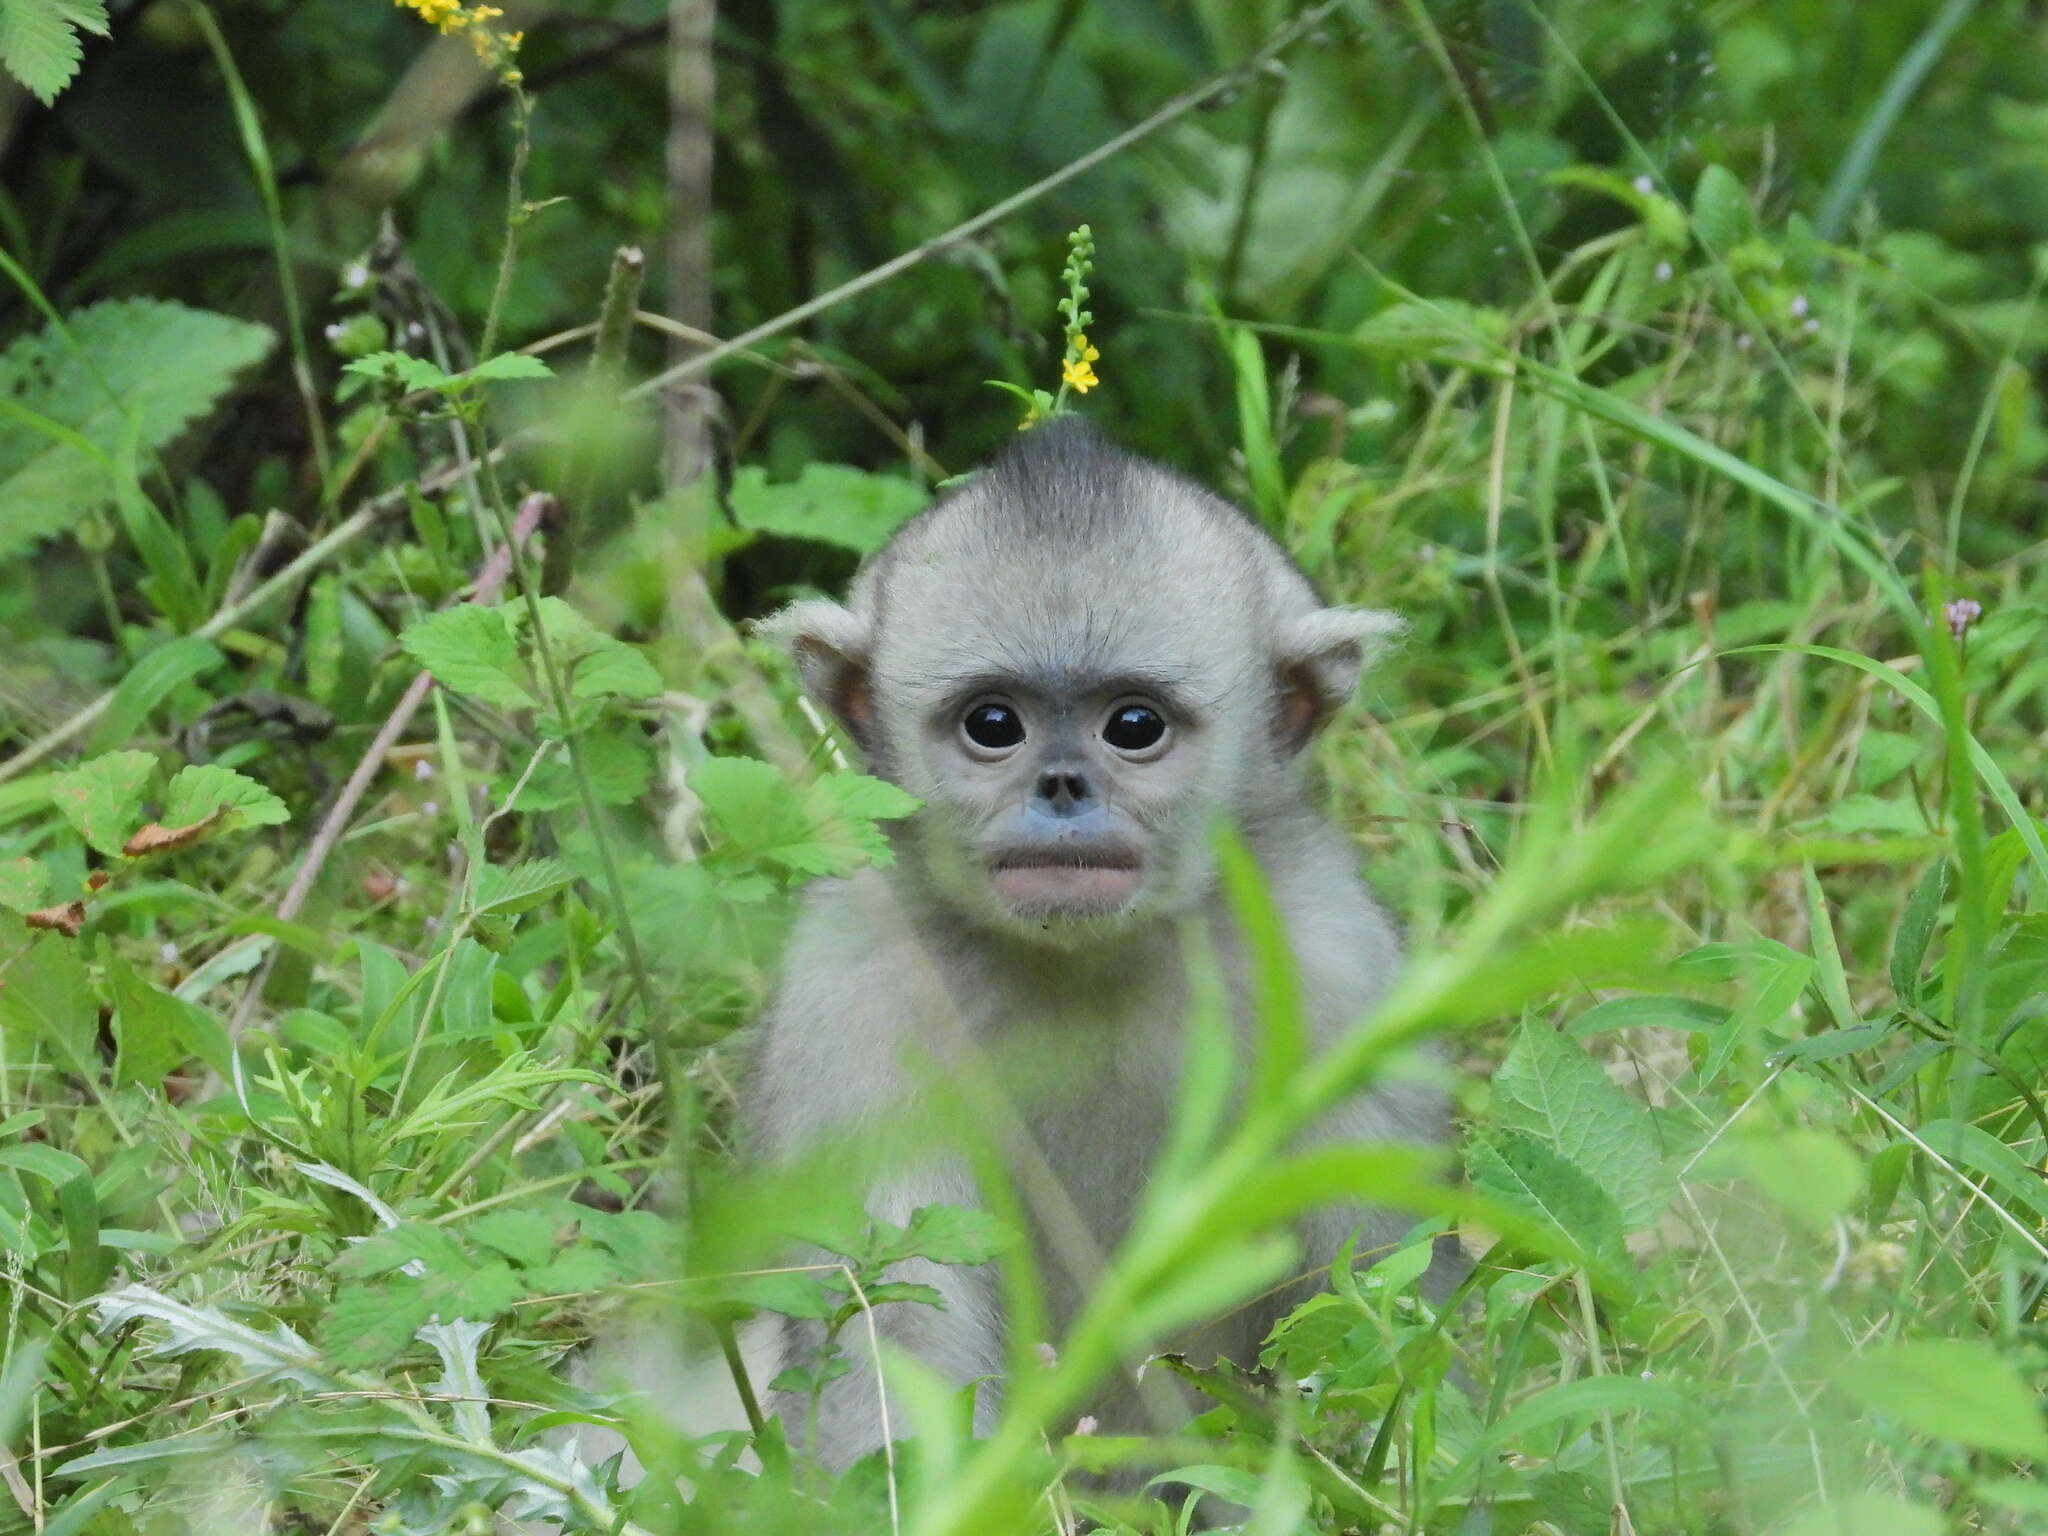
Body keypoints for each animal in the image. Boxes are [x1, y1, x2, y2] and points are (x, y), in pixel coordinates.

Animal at [745, 417, 1449, 1466]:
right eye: (995, 724)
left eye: (1135, 726)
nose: (1064, 787)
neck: (1087, 964)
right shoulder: (850, 987)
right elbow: (895, 1322)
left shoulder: (1339, 968)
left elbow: (1378, 1302)